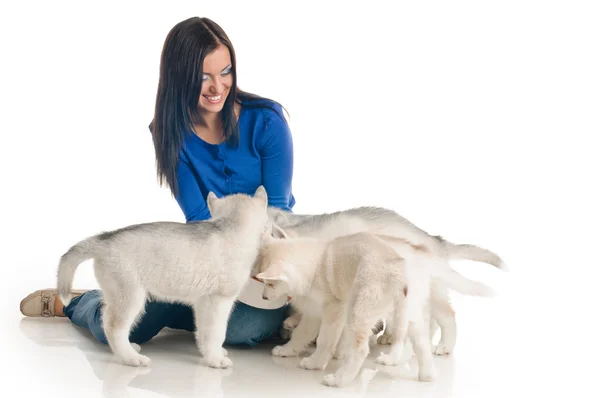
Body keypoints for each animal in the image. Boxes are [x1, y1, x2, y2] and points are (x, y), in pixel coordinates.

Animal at [55, 187, 270, 370]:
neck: (229, 228)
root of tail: (104, 240)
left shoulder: (203, 302)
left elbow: (203, 332)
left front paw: (210, 352)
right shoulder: (217, 301)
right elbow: (216, 332)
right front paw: (215, 359)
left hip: (116, 294)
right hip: (130, 296)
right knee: (113, 327)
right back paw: (130, 358)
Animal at [255, 230, 494, 386]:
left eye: (269, 284)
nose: (264, 297)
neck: (314, 265)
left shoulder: (334, 310)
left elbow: (324, 340)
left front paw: (316, 363)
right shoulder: (314, 313)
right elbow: (301, 335)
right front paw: (287, 350)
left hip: (359, 310)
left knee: (362, 349)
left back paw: (340, 379)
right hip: (408, 312)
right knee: (421, 341)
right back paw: (426, 375)